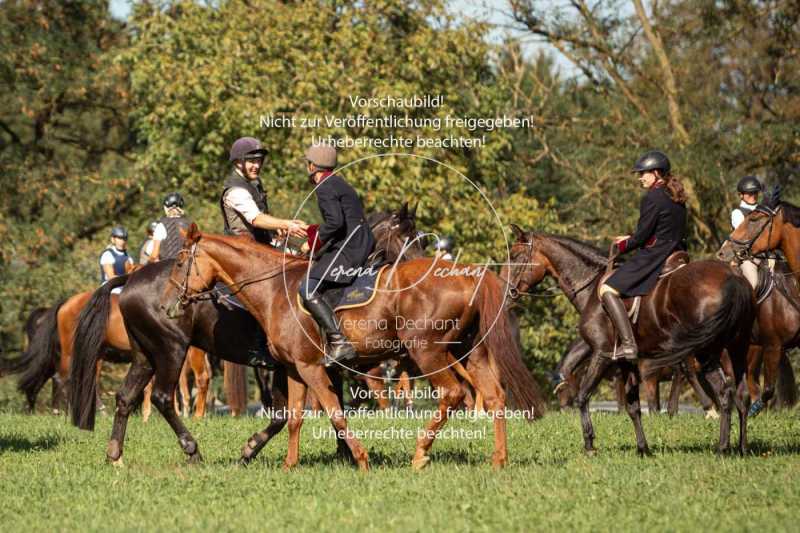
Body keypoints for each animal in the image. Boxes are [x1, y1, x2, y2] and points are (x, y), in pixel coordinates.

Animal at [504, 227, 752, 456]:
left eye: (515, 256)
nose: (508, 294)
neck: (592, 288)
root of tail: (733, 277)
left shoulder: (602, 354)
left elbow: (583, 396)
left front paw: (589, 444)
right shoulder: (627, 363)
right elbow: (633, 407)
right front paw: (643, 448)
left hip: (706, 352)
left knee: (721, 390)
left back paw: (722, 447)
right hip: (736, 349)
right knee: (738, 394)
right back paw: (740, 448)